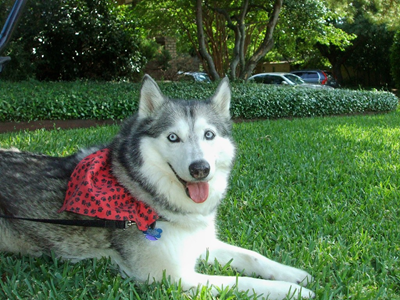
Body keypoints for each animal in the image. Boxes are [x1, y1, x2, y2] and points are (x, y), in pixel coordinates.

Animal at [0, 76, 312, 298]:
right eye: (173, 137)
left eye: (209, 135)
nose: (200, 169)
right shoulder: (172, 277)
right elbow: (241, 281)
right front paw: (292, 291)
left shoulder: (201, 243)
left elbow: (252, 256)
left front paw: (294, 274)